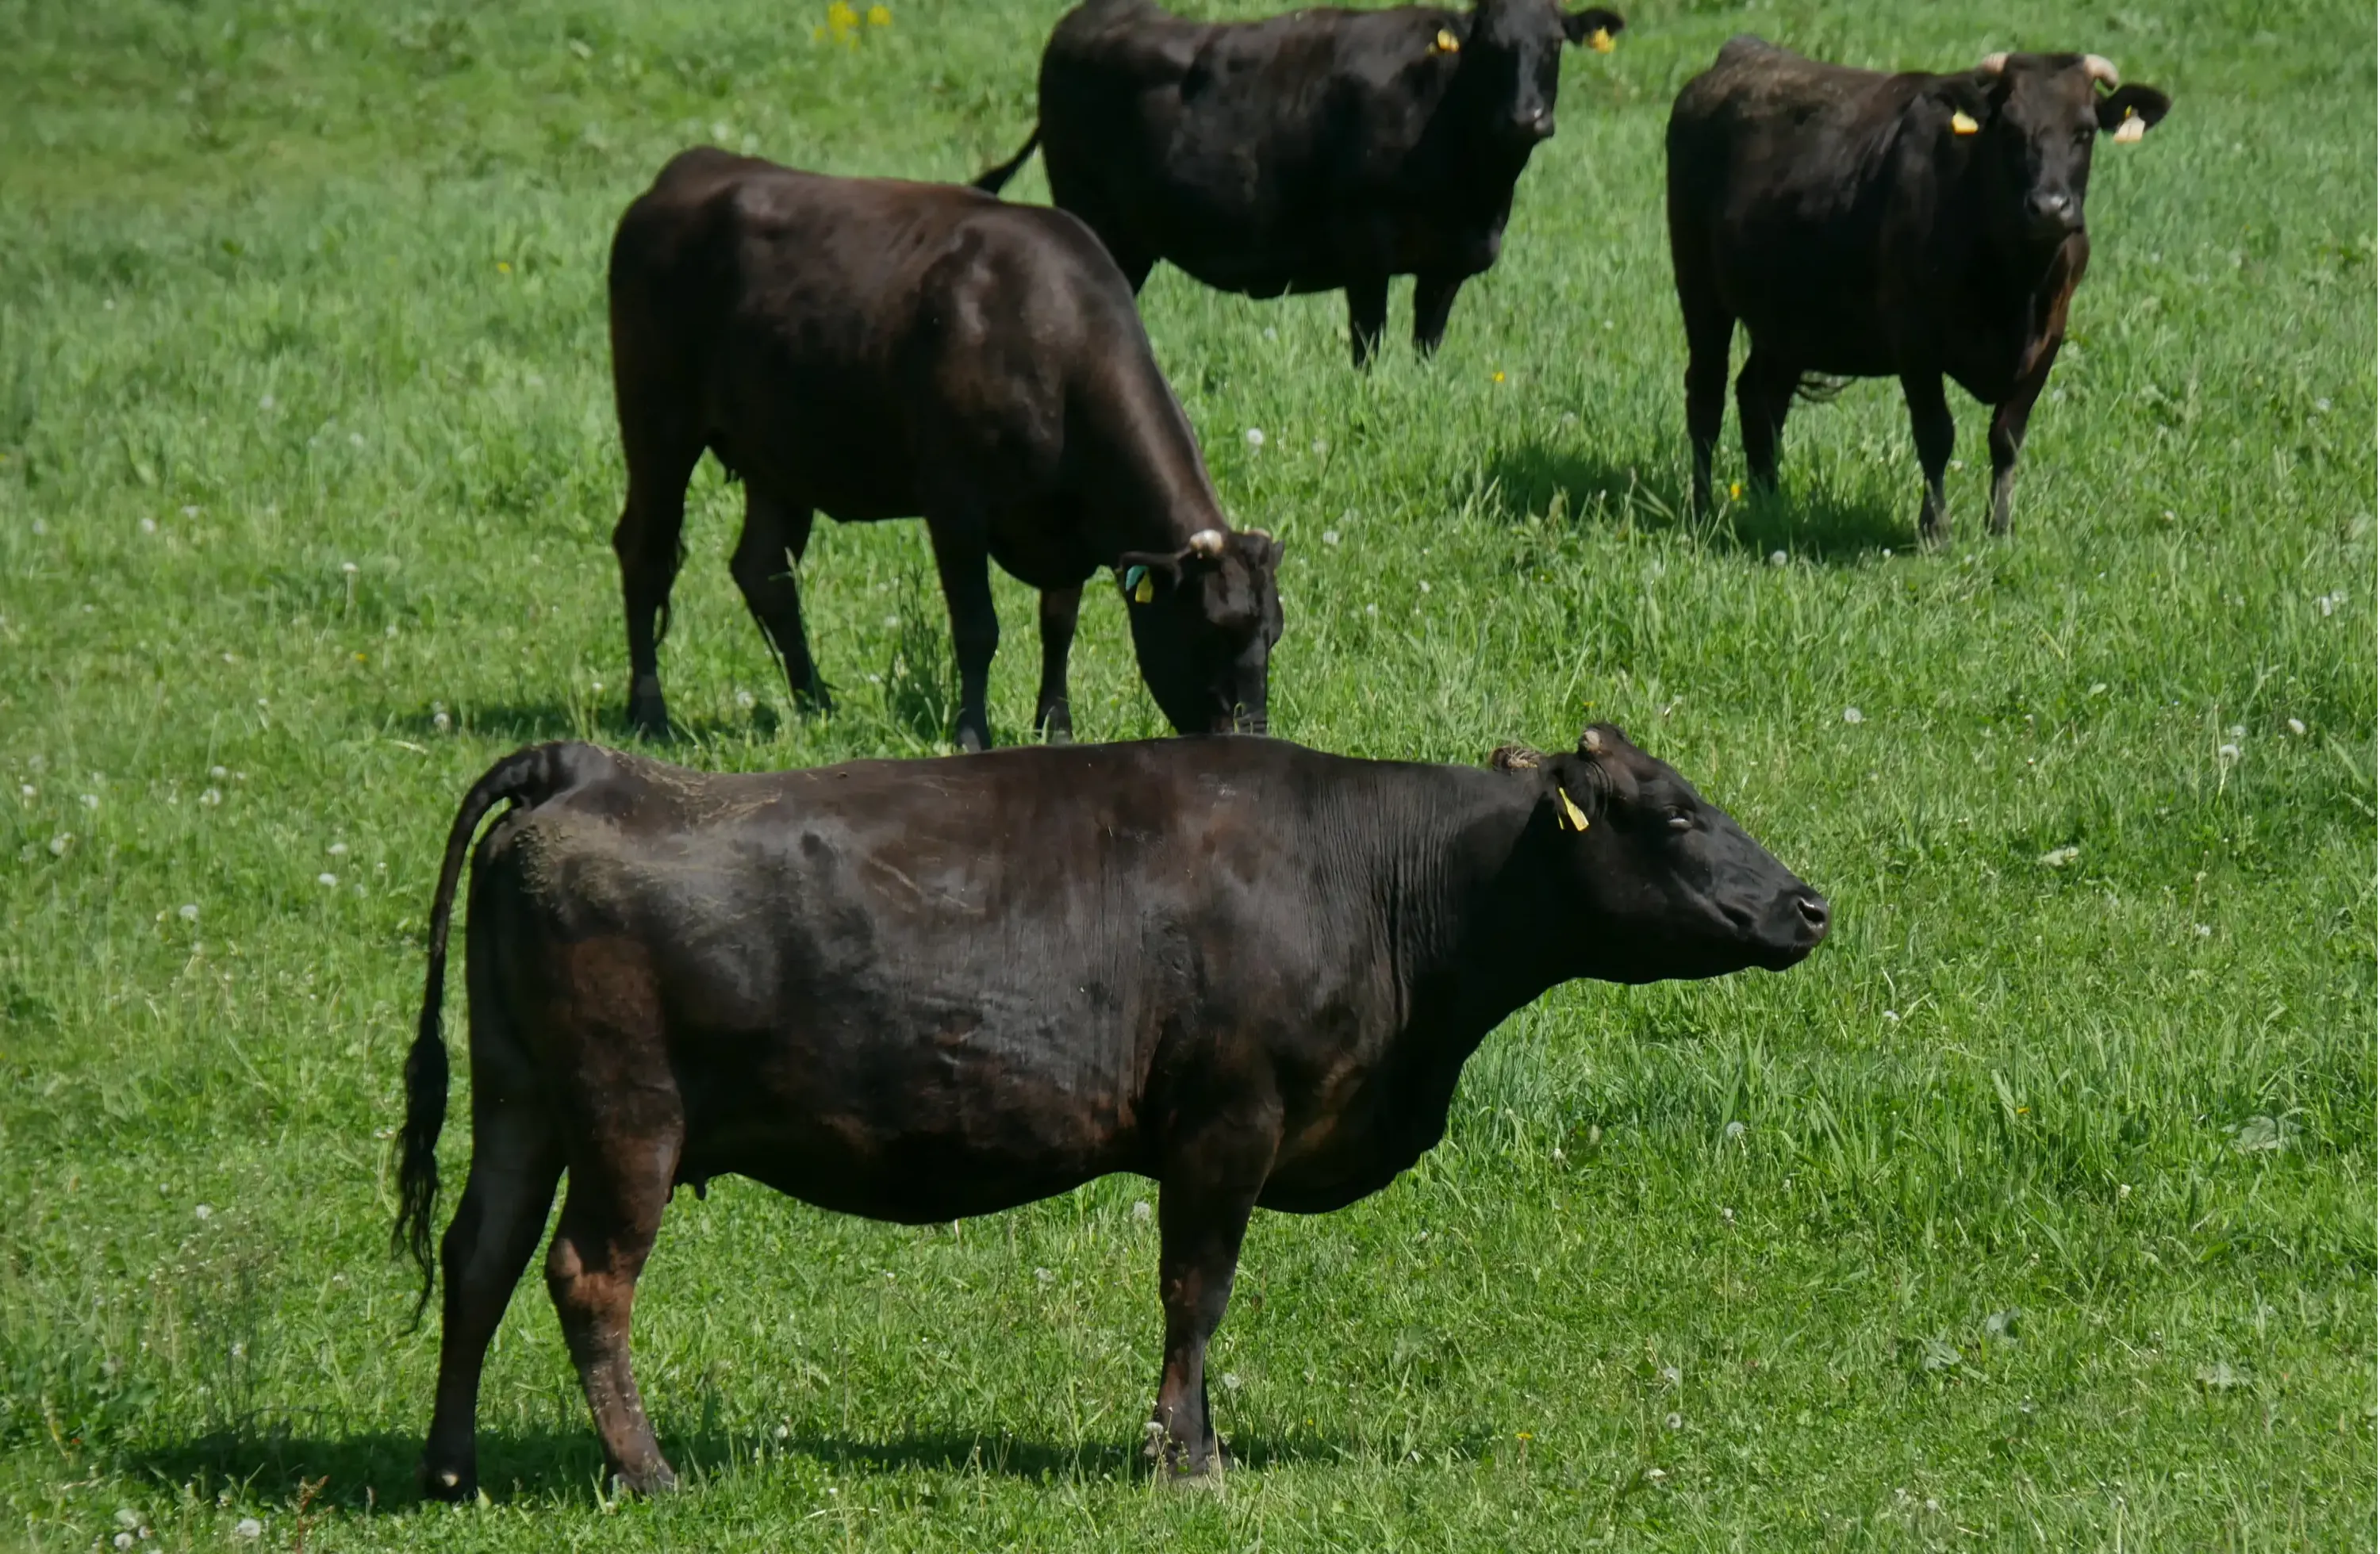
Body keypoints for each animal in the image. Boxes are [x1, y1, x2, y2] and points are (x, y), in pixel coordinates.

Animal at [400, 723, 1828, 1495]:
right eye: (1674, 812)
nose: (1808, 902)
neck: (1374, 879)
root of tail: (592, 763)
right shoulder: (1226, 1118)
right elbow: (1197, 1289)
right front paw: (1186, 1452)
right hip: (626, 1114)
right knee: (585, 1274)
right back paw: (646, 1467)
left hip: (521, 1098)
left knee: (477, 1257)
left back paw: (453, 1466)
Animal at [609, 152, 1285, 752]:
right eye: (1210, 631)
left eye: (1272, 634)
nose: (1251, 737)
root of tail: (691, 169)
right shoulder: (954, 501)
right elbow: (977, 626)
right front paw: (971, 734)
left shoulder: (1068, 526)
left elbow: (1059, 622)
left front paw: (1055, 727)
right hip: (657, 420)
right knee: (646, 553)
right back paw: (649, 713)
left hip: (778, 452)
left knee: (764, 570)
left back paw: (816, 703)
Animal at [976, 0, 1628, 366]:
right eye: (1489, 46)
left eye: (1553, 43)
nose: (1526, 117)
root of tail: (1088, 15)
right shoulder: (1364, 250)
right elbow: (1368, 347)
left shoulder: (1446, 264)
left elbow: (1426, 347)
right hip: (1094, 215)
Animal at [1666, 39, 2171, 535]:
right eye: (2009, 129)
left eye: (2083, 131)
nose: (2049, 207)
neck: (2012, 283)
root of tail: (1742, 52)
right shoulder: (1914, 336)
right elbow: (1936, 433)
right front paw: (1935, 529)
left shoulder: (2049, 336)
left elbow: (2007, 435)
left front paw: (1999, 527)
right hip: (1698, 285)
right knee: (1706, 396)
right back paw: (1703, 509)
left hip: (1787, 321)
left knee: (1761, 399)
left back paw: (1767, 504)